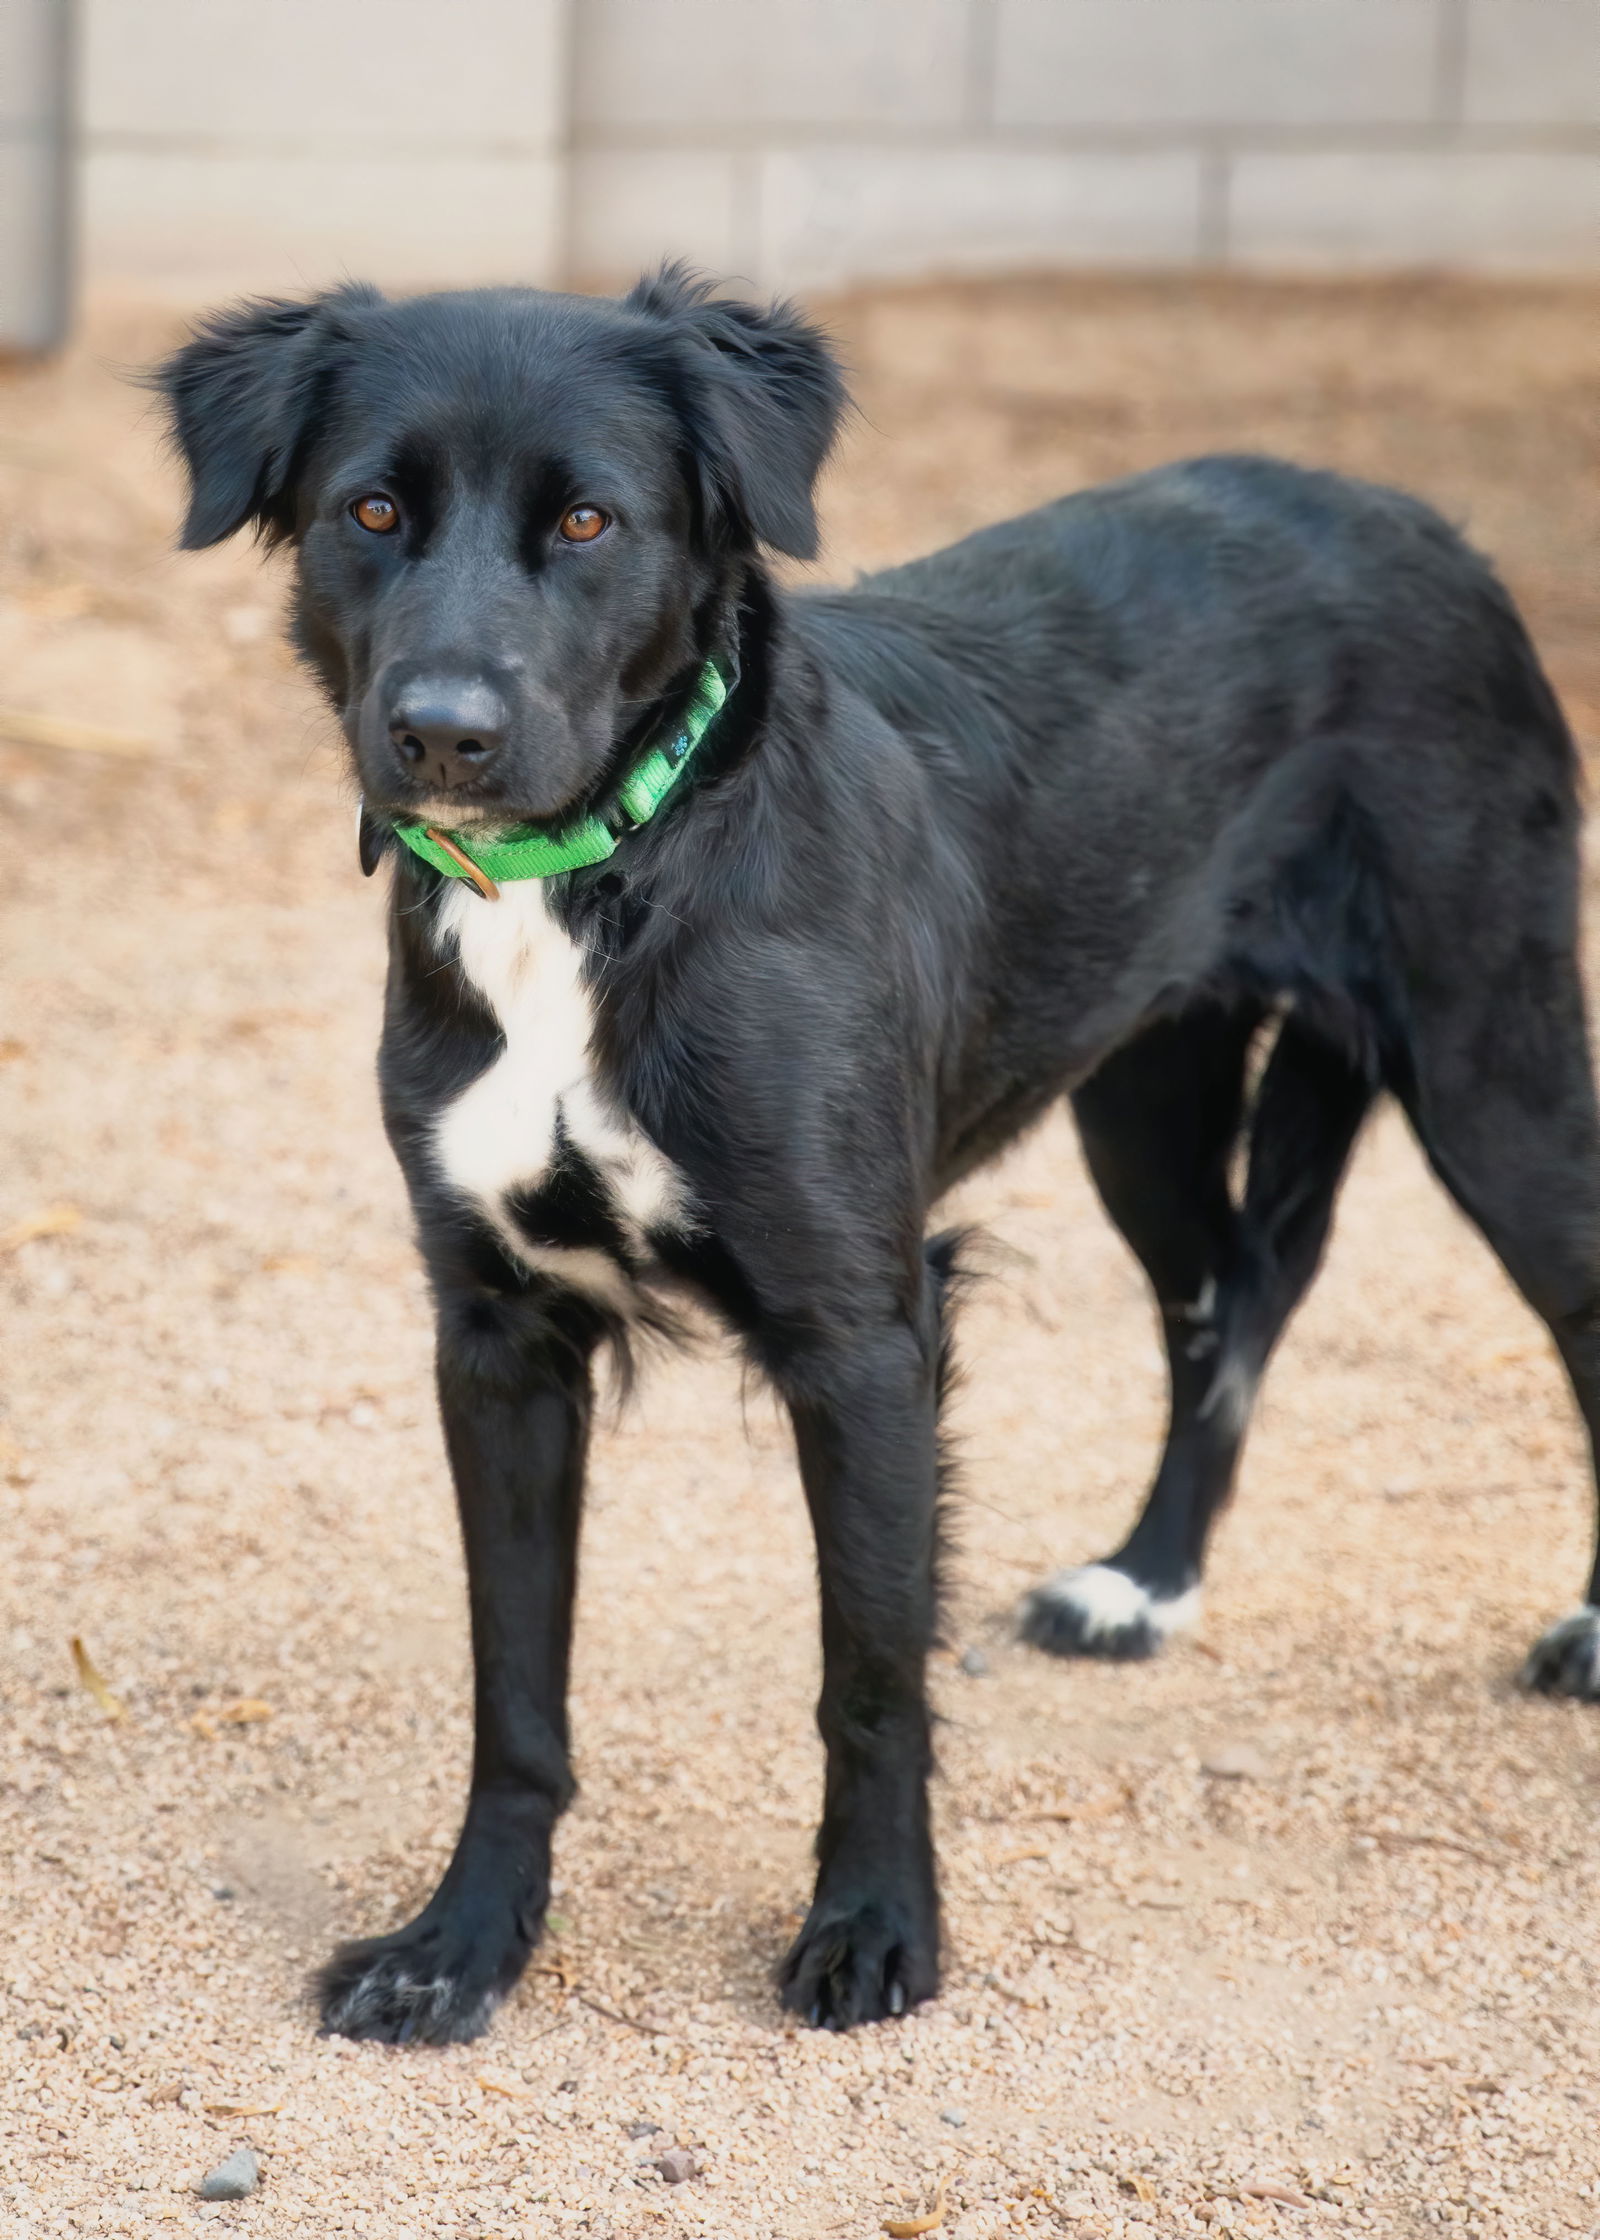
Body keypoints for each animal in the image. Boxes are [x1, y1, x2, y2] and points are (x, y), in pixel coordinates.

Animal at [152, 271, 1595, 2042]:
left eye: (587, 519)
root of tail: (1424, 521)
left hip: (1496, 1070)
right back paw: (1146, 1581)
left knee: (1565, 1307)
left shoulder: (864, 1335)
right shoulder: (495, 1334)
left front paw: (876, 1932)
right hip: (1144, 1098)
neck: (610, 880)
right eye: (372, 511)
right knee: (1225, 1307)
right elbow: (513, 1691)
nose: (441, 736)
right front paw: (463, 1946)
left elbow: (872, 1671)